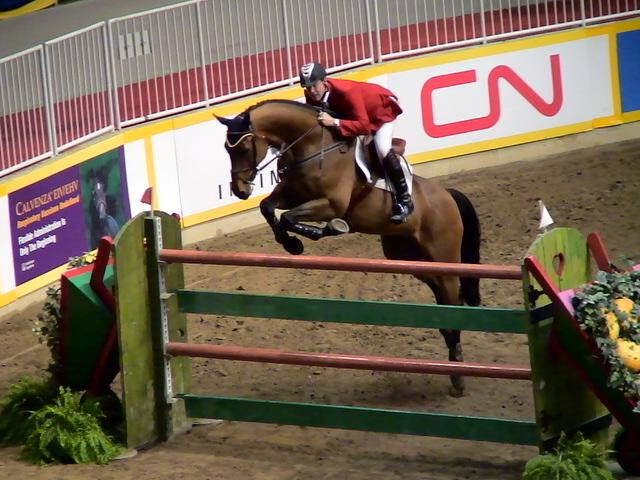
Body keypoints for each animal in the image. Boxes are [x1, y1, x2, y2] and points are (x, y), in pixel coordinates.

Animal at [216, 99, 481, 396]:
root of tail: (448, 195)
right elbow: (269, 207)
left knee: (452, 296)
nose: (239, 191)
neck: (309, 145)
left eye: (244, 148)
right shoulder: (292, 193)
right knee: (446, 298)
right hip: (410, 258)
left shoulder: (332, 204)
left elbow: (289, 217)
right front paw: (291, 244)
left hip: (444, 258)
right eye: (227, 149)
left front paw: (321, 232)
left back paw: (458, 373)